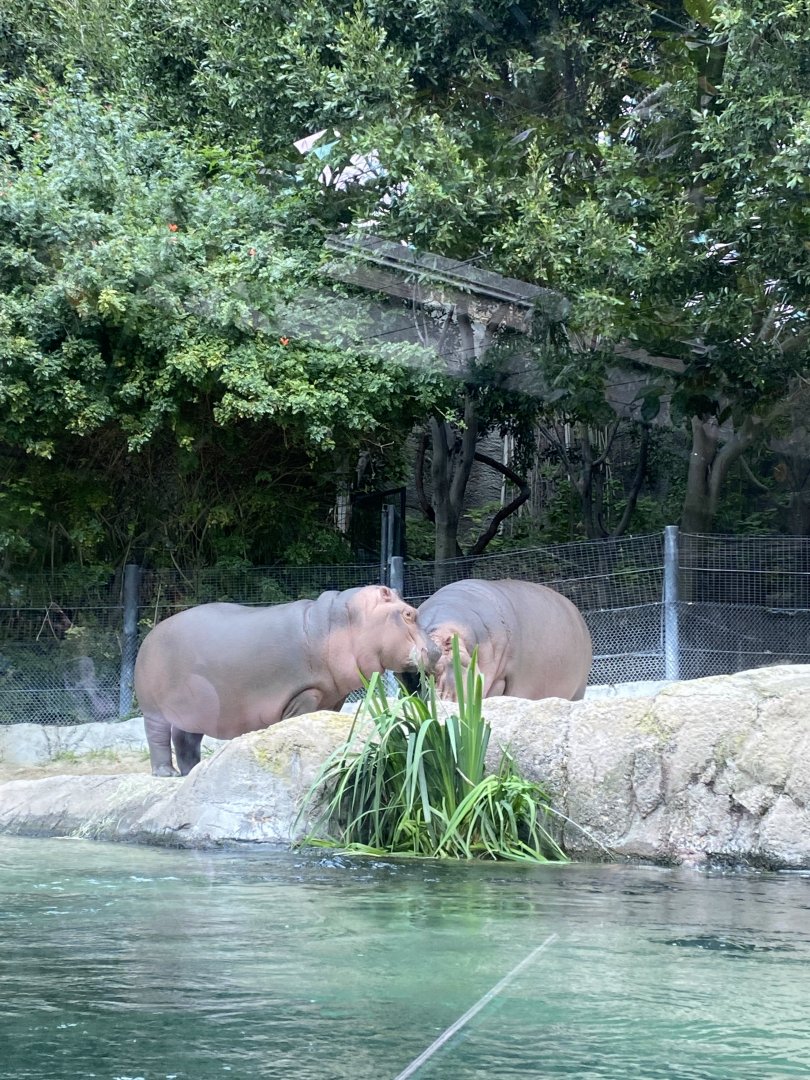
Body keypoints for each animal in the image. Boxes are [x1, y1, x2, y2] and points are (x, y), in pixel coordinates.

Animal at [134, 585, 440, 776]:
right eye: (409, 613)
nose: (437, 650)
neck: (345, 622)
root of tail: (152, 634)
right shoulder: (305, 694)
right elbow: (295, 722)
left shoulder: (333, 696)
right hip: (154, 709)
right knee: (157, 737)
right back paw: (166, 774)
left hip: (195, 709)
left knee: (185, 738)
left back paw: (190, 771)